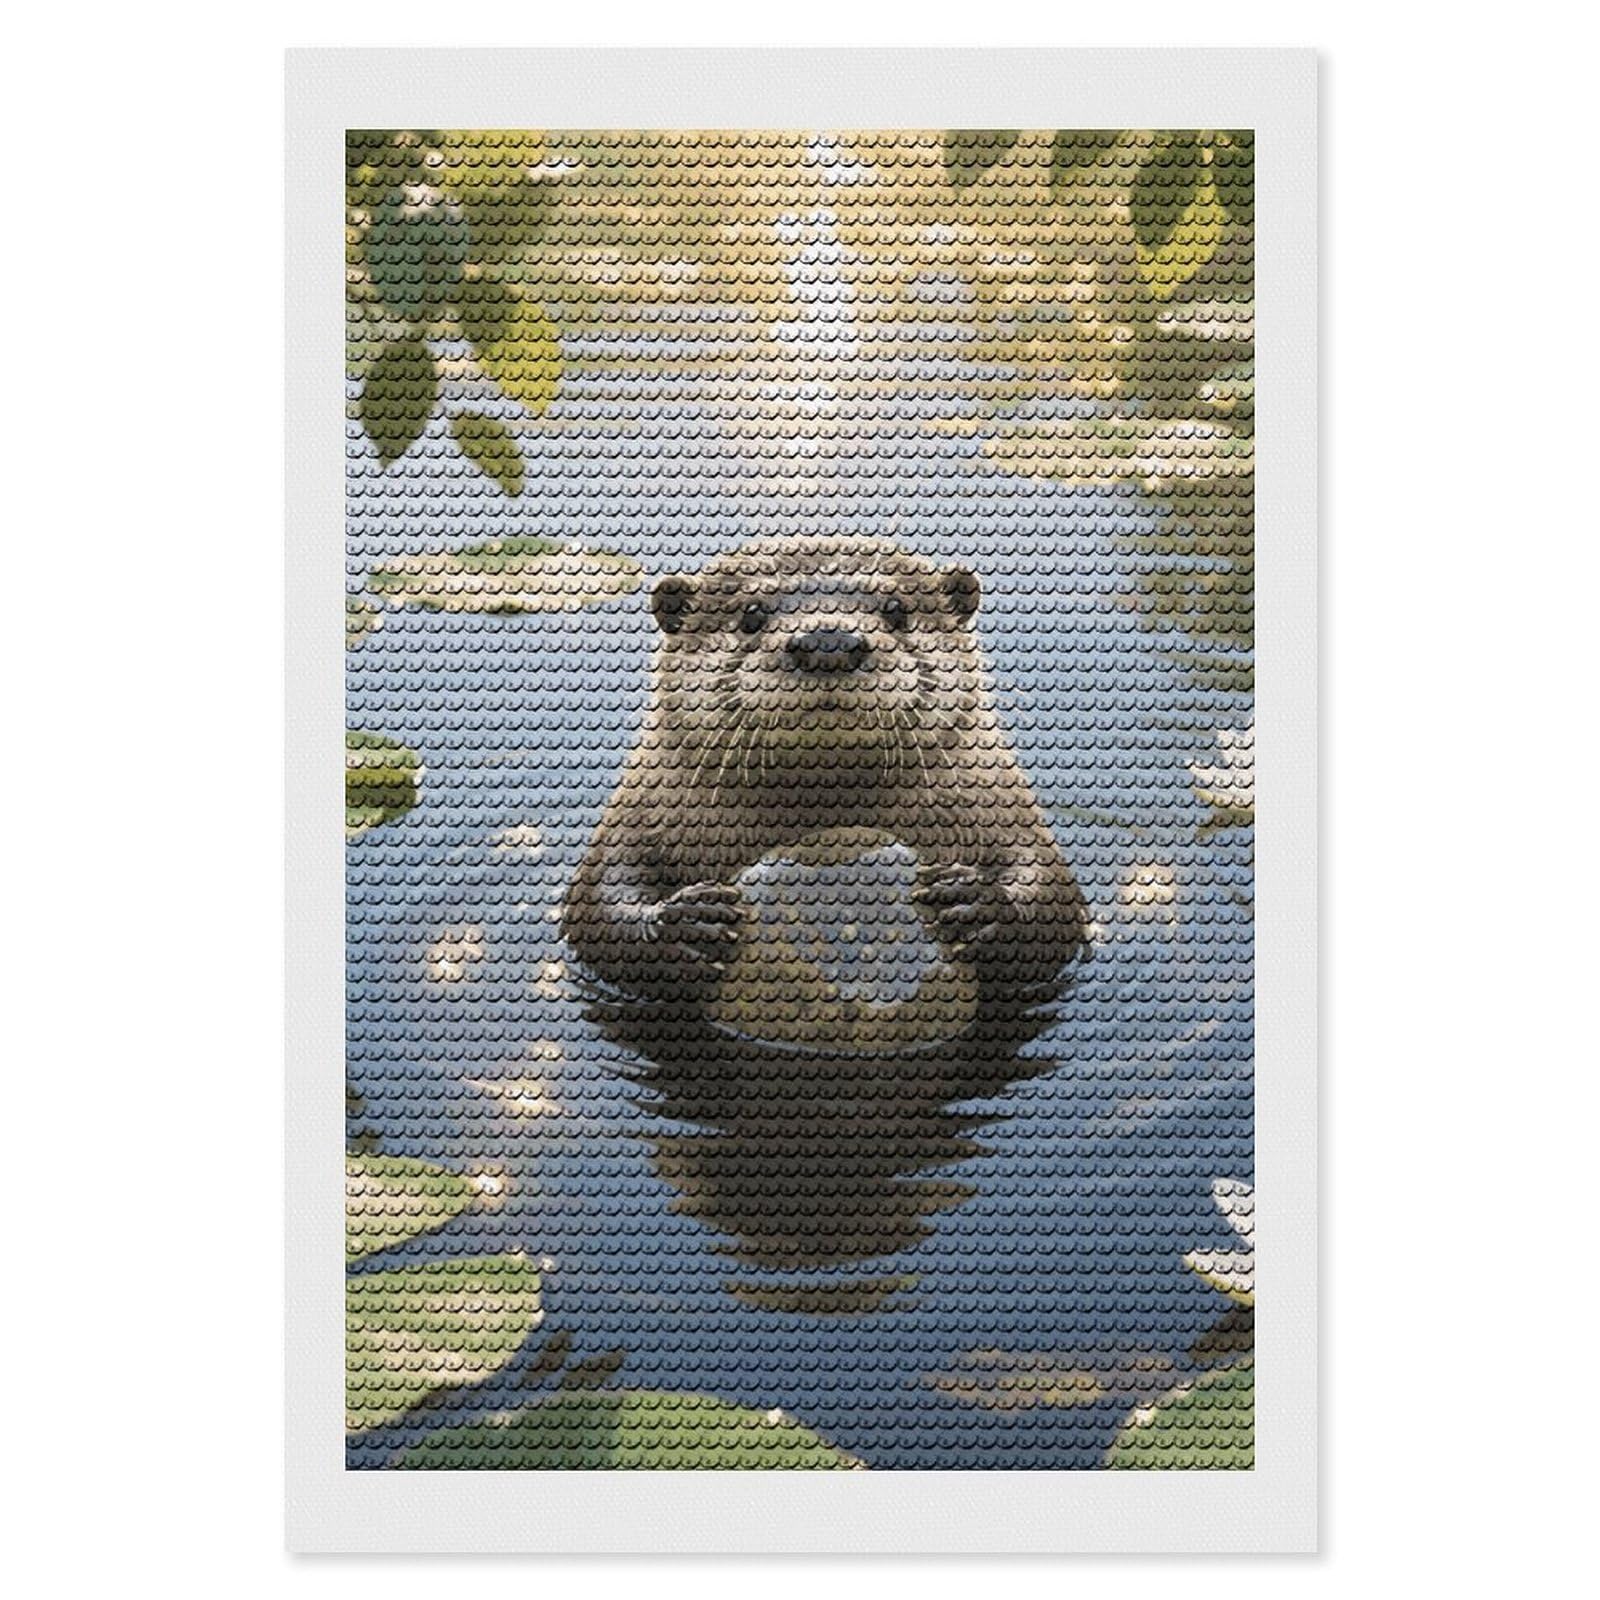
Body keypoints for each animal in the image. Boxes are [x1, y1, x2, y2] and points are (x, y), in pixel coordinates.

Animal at [562, 536, 1089, 1002]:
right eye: (751, 614)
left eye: (896, 609)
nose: (828, 642)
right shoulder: (644, 810)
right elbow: (597, 904)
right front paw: (683, 926)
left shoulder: (1002, 807)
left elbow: (1053, 900)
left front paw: (977, 906)